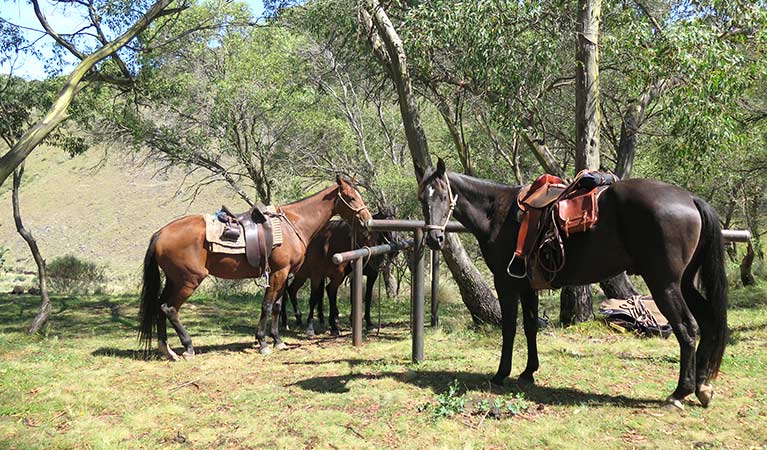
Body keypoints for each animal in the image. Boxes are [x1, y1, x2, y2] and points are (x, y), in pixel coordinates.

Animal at [141, 176, 376, 358]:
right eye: (352, 197)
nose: (367, 220)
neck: (293, 224)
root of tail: (160, 233)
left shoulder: (284, 273)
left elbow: (278, 306)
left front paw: (278, 340)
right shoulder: (279, 272)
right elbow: (267, 306)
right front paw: (263, 342)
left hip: (174, 280)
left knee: (160, 307)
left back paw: (167, 349)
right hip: (188, 281)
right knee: (170, 308)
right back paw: (188, 347)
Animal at [416, 159, 728, 412]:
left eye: (443, 195)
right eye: (422, 198)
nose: (434, 239)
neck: (497, 213)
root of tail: (690, 198)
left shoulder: (505, 283)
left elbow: (509, 328)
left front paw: (502, 373)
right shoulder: (527, 286)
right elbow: (530, 326)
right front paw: (528, 372)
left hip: (665, 284)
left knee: (687, 329)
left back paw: (679, 393)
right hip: (684, 283)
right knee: (708, 323)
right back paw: (702, 388)